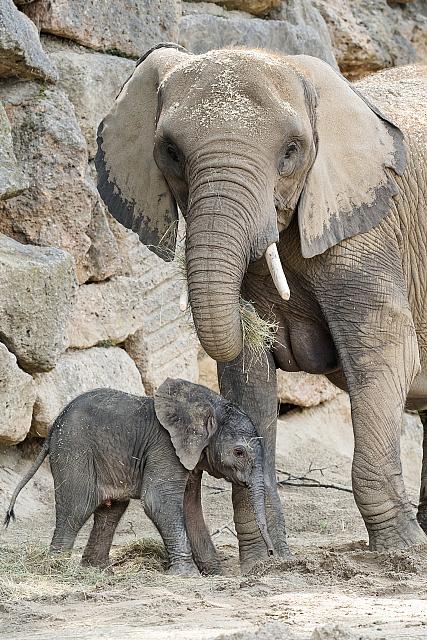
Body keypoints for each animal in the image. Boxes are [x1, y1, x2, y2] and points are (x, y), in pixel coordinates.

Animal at [5, 378, 274, 576]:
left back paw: (99, 572)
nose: (271, 554)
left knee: (111, 511)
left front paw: (215, 575)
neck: (209, 402)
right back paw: (56, 569)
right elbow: (159, 502)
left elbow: (190, 509)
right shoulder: (165, 448)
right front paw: (186, 576)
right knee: (77, 507)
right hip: (73, 449)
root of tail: (52, 428)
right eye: (239, 452)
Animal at [97, 42, 427, 568]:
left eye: (291, 151)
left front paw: (402, 550)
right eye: (170, 151)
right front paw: (264, 562)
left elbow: (384, 352)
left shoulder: (367, 231)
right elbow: (248, 376)